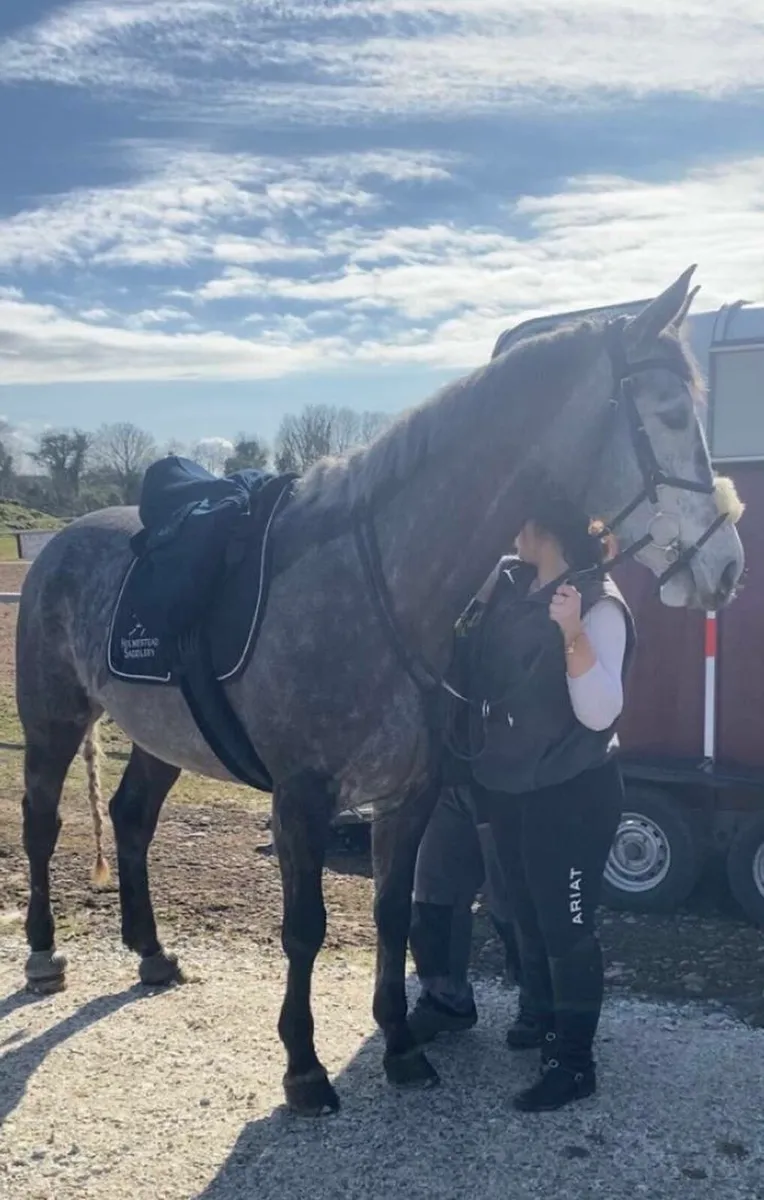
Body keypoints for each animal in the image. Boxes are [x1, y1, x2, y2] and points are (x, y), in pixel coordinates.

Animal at [16, 266, 744, 1116]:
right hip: (52, 718)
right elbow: (305, 927)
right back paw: (42, 956)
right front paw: (304, 1068)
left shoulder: (409, 796)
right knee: (41, 824)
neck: (382, 589)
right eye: (670, 413)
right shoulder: (301, 797)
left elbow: (394, 918)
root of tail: (59, 542)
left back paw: (152, 953)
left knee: (131, 819)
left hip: (162, 736)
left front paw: (400, 1046)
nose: (727, 565)